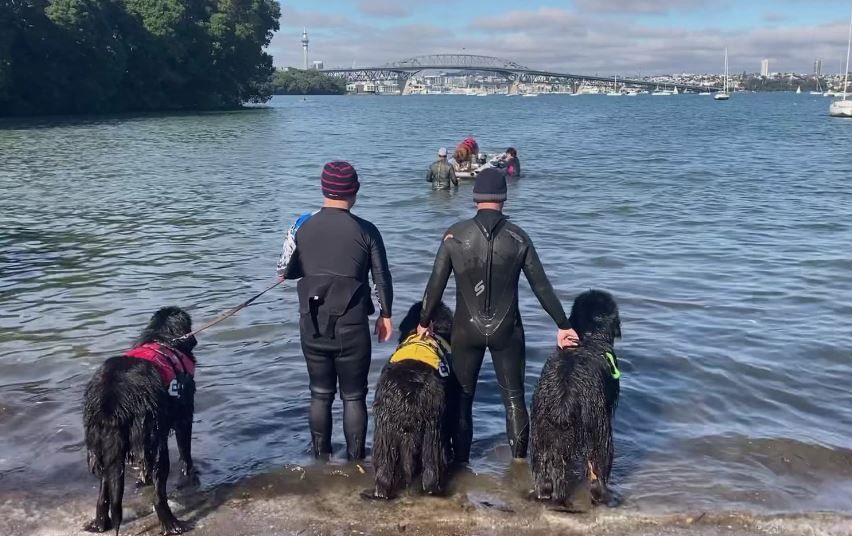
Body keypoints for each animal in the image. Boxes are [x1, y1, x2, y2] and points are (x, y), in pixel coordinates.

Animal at [82, 308, 197, 532]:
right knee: (159, 494)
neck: (162, 338)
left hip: (100, 445)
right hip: (154, 439)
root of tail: (112, 401)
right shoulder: (184, 415)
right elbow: (185, 451)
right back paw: (171, 524)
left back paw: (100, 523)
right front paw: (190, 473)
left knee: (104, 490)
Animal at [528, 292, 624, 508]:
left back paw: (544, 492)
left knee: (544, 470)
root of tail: (565, 399)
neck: (588, 337)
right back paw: (604, 497)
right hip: (598, 428)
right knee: (597, 466)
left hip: (540, 428)